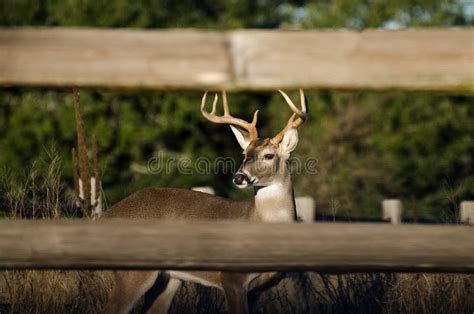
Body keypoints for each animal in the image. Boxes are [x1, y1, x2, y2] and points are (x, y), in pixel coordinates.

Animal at [102, 89, 310, 314]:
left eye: (269, 155)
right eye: (244, 153)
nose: (239, 177)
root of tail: (106, 215)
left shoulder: (257, 290)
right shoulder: (232, 279)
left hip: (168, 279)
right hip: (132, 272)